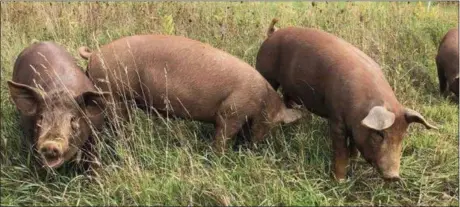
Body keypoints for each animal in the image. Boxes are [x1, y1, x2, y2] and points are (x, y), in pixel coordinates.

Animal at [78, 34, 302, 154]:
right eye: (275, 124)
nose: (255, 148)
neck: (263, 100)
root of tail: (94, 53)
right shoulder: (231, 112)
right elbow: (222, 136)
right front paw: (220, 156)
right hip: (113, 93)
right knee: (119, 123)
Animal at [255, 19, 438, 181]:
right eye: (379, 134)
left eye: (402, 135)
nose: (393, 176)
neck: (359, 111)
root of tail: (273, 33)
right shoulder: (336, 119)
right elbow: (340, 150)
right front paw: (340, 181)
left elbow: (354, 145)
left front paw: (354, 161)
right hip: (265, 72)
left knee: (287, 97)